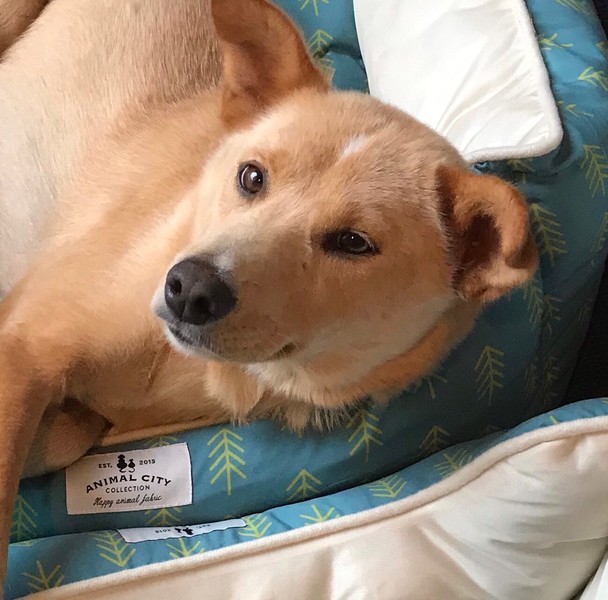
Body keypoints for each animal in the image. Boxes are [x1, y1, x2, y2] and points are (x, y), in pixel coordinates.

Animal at [0, 0, 538, 589]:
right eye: (252, 177)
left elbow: (69, 434)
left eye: (353, 243)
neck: (187, 370)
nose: (190, 289)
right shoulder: (27, 345)